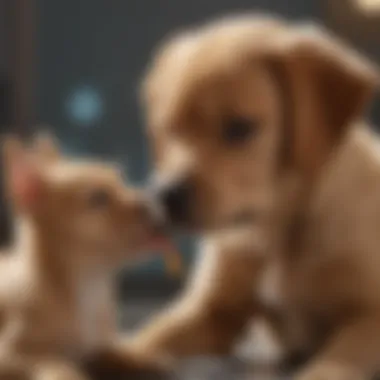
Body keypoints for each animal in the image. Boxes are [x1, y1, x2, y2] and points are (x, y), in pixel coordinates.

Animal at [0, 135, 168, 378]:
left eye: (122, 183)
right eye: (98, 198)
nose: (155, 202)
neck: (89, 283)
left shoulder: (97, 344)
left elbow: (110, 348)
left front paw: (139, 356)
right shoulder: (10, 355)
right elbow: (53, 360)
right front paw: (68, 372)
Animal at [130, 13, 380, 380]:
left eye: (238, 128)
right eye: (167, 129)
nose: (165, 196)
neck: (277, 230)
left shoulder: (369, 316)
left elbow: (333, 365)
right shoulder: (211, 312)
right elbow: (149, 336)